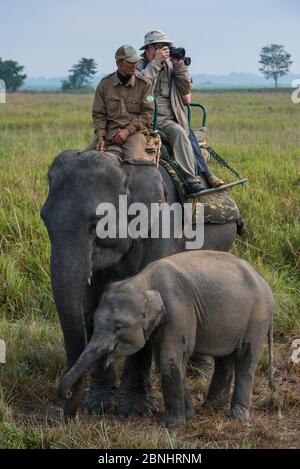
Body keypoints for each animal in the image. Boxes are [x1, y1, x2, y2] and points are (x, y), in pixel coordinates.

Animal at [41, 150, 237, 416]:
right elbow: (92, 305)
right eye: (44, 219)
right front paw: (99, 406)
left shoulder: (160, 226)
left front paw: (135, 410)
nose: (69, 403)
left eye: (98, 222)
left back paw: (199, 374)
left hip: (219, 241)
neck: (124, 165)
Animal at [58, 250, 274, 426]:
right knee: (224, 359)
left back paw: (237, 417)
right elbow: (173, 360)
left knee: (245, 358)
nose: (66, 394)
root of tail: (265, 283)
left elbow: (169, 357)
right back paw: (210, 407)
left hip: (258, 315)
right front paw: (189, 417)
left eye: (118, 328)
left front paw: (170, 425)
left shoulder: (178, 309)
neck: (142, 281)